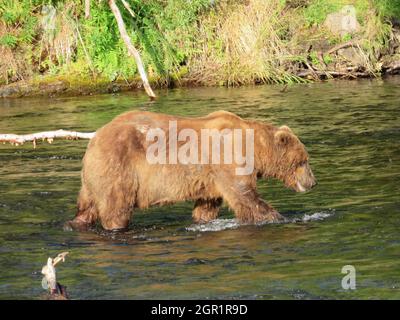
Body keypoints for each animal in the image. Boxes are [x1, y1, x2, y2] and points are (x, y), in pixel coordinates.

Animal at [67, 110, 316, 230]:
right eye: (304, 161)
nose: (313, 182)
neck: (255, 148)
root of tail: (94, 139)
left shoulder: (210, 178)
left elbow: (206, 206)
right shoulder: (227, 158)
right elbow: (245, 195)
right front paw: (282, 217)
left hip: (94, 177)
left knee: (86, 208)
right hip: (119, 166)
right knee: (116, 207)